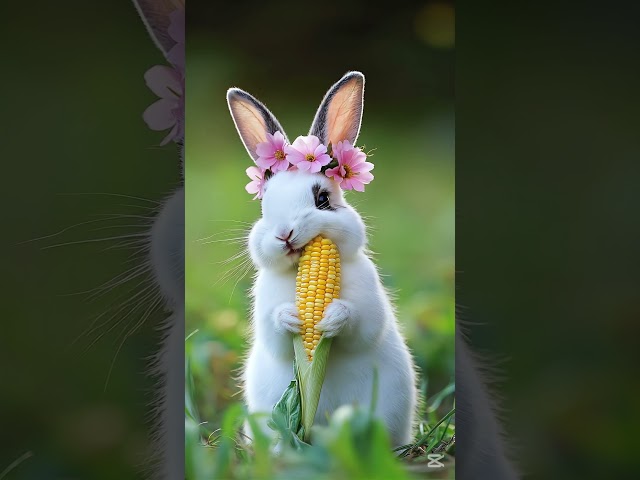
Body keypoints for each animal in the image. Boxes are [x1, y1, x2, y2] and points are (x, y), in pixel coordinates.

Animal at [226, 72, 420, 450]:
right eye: (264, 205)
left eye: (323, 200)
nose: (284, 234)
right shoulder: (265, 313)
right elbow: (274, 335)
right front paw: (290, 316)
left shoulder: (370, 305)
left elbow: (361, 326)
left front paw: (333, 318)